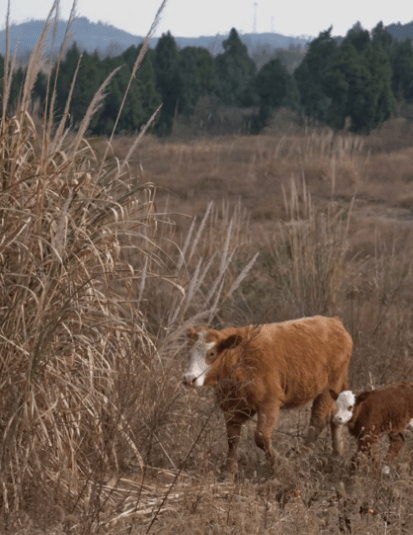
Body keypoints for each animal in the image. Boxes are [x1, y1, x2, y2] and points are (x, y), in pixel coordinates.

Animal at [183, 316, 350, 480]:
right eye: (189, 352)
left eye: (212, 353)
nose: (189, 378)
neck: (240, 359)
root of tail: (334, 322)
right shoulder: (232, 406)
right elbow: (232, 439)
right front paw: (229, 474)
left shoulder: (269, 402)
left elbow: (261, 437)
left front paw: (283, 467)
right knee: (335, 416)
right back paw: (337, 455)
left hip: (329, 387)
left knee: (317, 421)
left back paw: (302, 459)